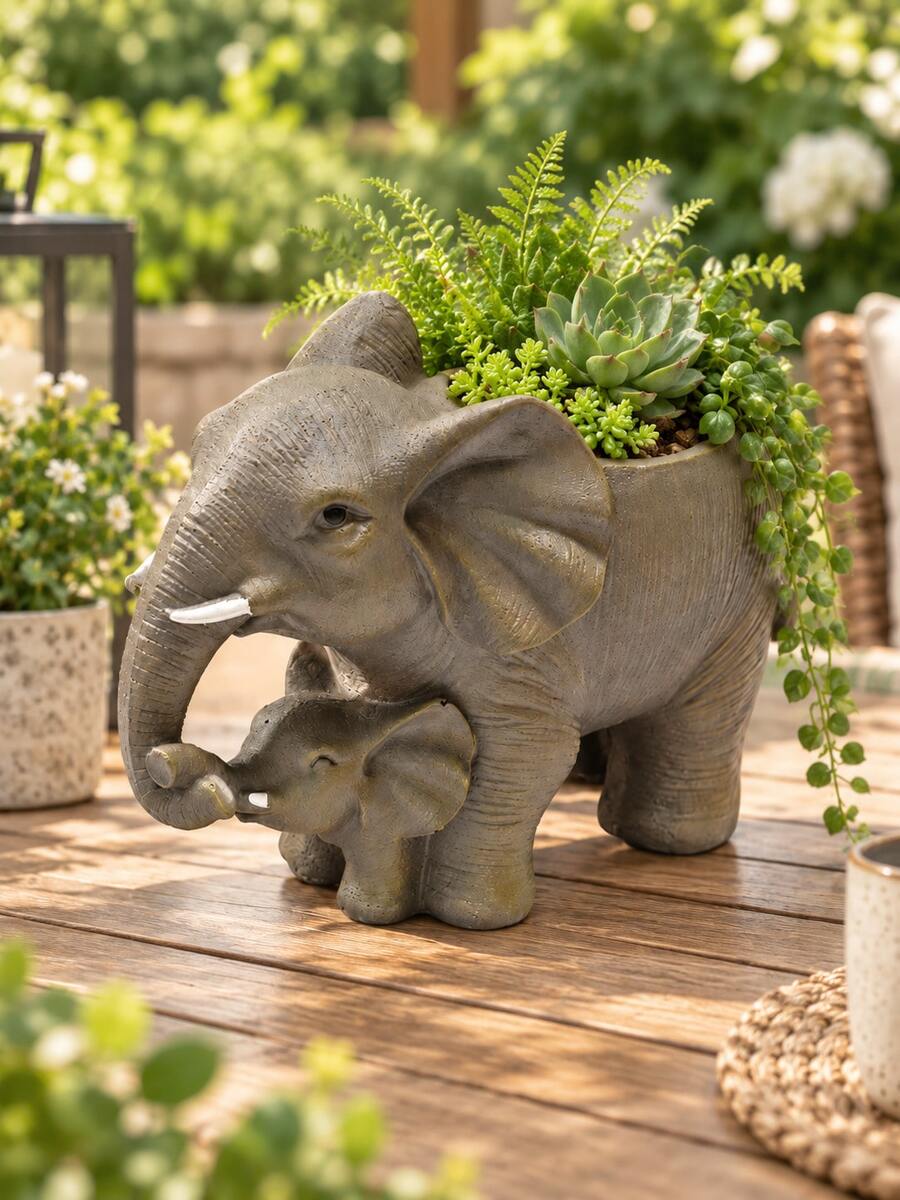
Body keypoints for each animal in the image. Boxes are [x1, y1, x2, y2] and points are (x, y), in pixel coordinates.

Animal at [119, 290, 776, 930]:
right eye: (196, 445)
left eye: (336, 517)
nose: (172, 766)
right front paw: (317, 879)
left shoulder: (520, 649)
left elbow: (528, 753)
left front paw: (468, 918)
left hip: (736, 598)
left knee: (699, 715)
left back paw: (667, 841)